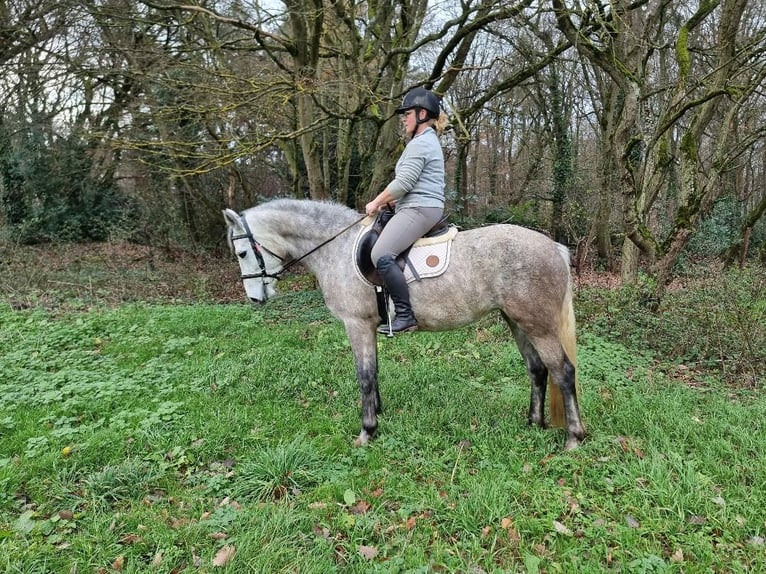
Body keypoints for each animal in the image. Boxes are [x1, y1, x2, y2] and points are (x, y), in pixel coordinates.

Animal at [223, 199, 585, 450]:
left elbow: (364, 375)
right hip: (517, 321)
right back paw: (533, 423)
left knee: (563, 371)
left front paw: (367, 431)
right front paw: (377, 414)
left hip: (537, 325)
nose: (255, 299)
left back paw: (574, 437)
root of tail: (554, 247)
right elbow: (374, 373)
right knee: (537, 369)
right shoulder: (369, 328)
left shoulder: (356, 325)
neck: (336, 247)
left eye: (241, 252)